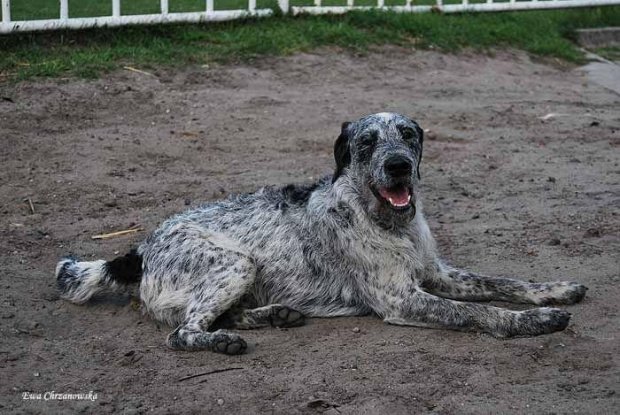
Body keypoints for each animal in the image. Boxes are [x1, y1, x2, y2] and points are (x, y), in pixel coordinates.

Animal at [57, 113, 588, 354]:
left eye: (408, 135)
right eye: (367, 141)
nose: (399, 166)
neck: (390, 222)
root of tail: (138, 249)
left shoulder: (437, 273)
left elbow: (502, 282)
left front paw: (555, 290)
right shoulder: (401, 299)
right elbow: (481, 312)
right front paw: (533, 321)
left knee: (217, 315)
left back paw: (273, 315)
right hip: (234, 263)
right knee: (183, 332)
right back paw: (224, 341)